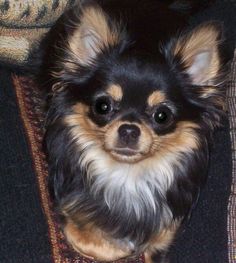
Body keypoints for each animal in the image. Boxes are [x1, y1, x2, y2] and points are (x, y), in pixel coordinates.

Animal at [38, 0, 229, 262]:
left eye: (162, 115)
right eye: (103, 106)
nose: (129, 129)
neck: (127, 175)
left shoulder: (167, 226)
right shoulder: (70, 213)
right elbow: (102, 243)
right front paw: (125, 244)